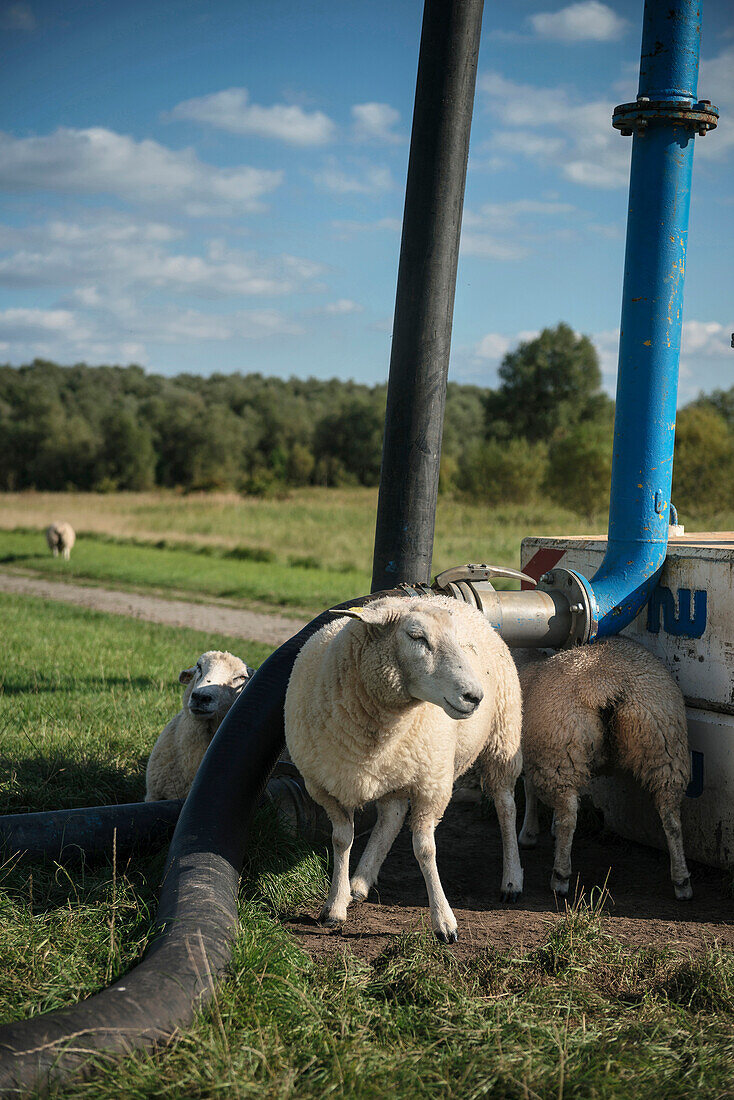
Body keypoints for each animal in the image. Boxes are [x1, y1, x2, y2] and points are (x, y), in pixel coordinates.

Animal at [283, 594, 526, 946]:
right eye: (416, 636)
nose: (474, 696)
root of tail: (446, 597)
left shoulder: (432, 785)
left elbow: (425, 849)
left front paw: (444, 922)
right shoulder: (323, 786)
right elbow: (342, 840)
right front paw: (335, 906)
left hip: (503, 736)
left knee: (506, 806)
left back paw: (511, 879)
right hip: (396, 773)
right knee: (392, 816)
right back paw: (360, 883)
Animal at [517, 638, 695, 902]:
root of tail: (607, 686)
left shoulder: (529, 752)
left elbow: (529, 788)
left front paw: (529, 834)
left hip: (559, 752)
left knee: (569, 816)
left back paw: (560, 877)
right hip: (664, 745)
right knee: (671, 818)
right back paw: (682, 881)